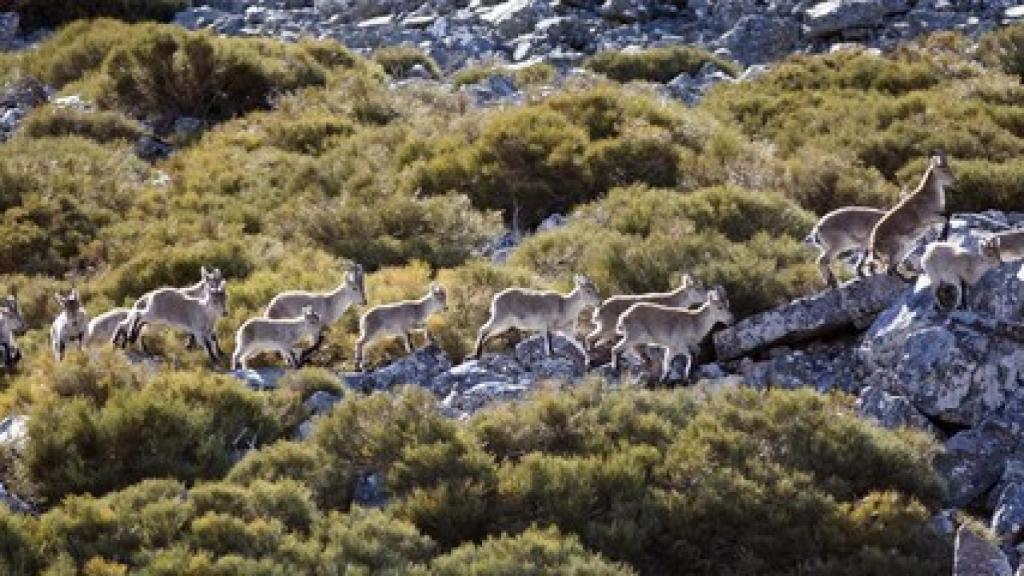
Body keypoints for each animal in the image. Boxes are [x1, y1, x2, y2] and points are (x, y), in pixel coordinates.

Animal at [867, 151, 955, 280]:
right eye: (944, 170)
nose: (954, 181)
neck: (929, 195)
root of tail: (873, 245)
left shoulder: (934, 219)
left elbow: (947, 216)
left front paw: (941, 237)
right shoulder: (927, 217)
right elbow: (946, 217)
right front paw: (942, 237)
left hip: (904, 249)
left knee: (893, 268)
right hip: (896, 248)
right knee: (890, 269)